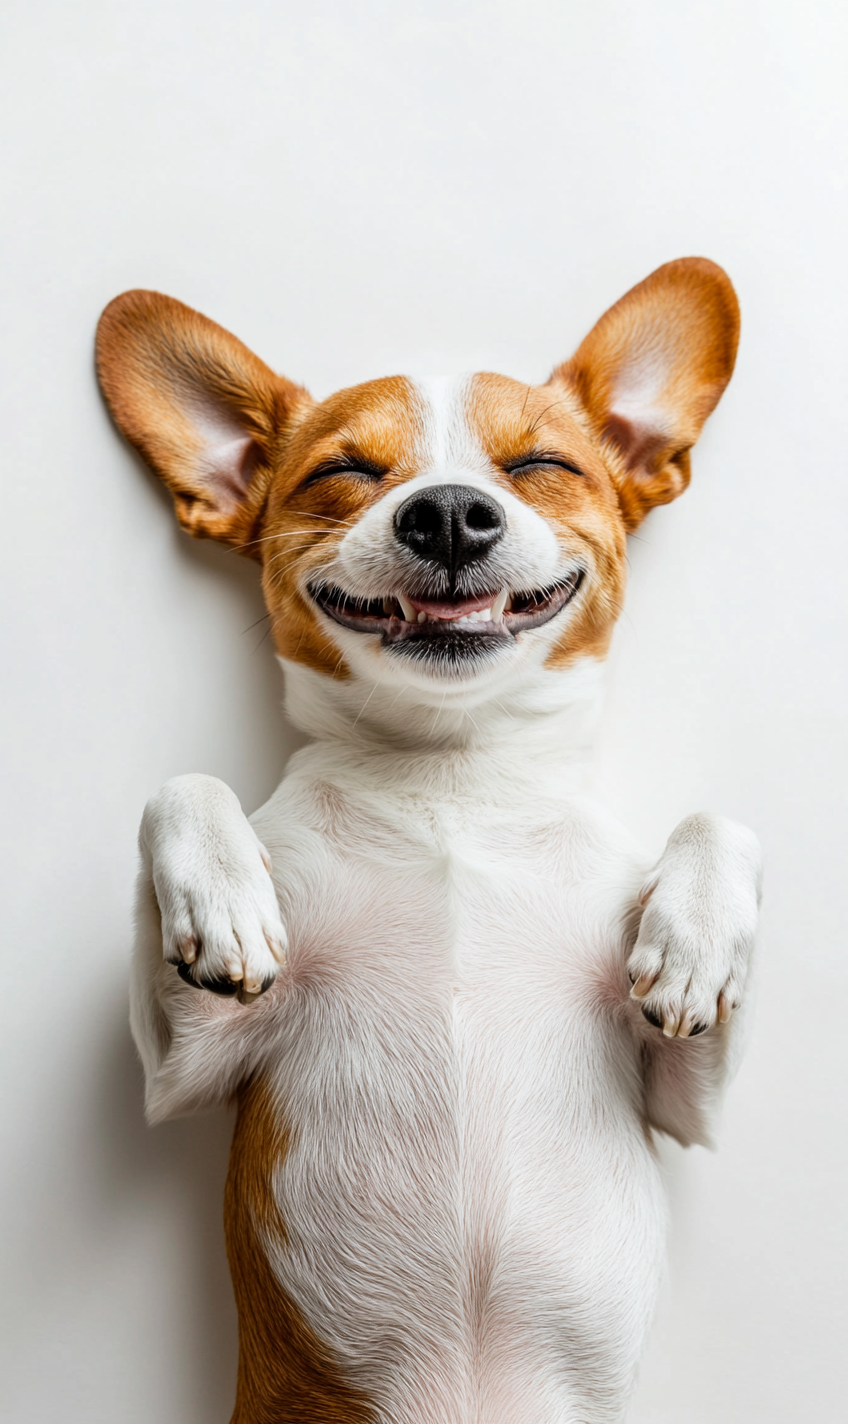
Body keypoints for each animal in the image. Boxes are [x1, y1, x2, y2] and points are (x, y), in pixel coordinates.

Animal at [94, 259, 762, 1424]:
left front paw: (694, 941)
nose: (447, 510)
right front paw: (223, 896)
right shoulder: (183, 1066)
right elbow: (179, 787)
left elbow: (720, 820)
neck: (453, 778)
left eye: (539, 464)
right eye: (344, 472)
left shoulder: (689, 1103)